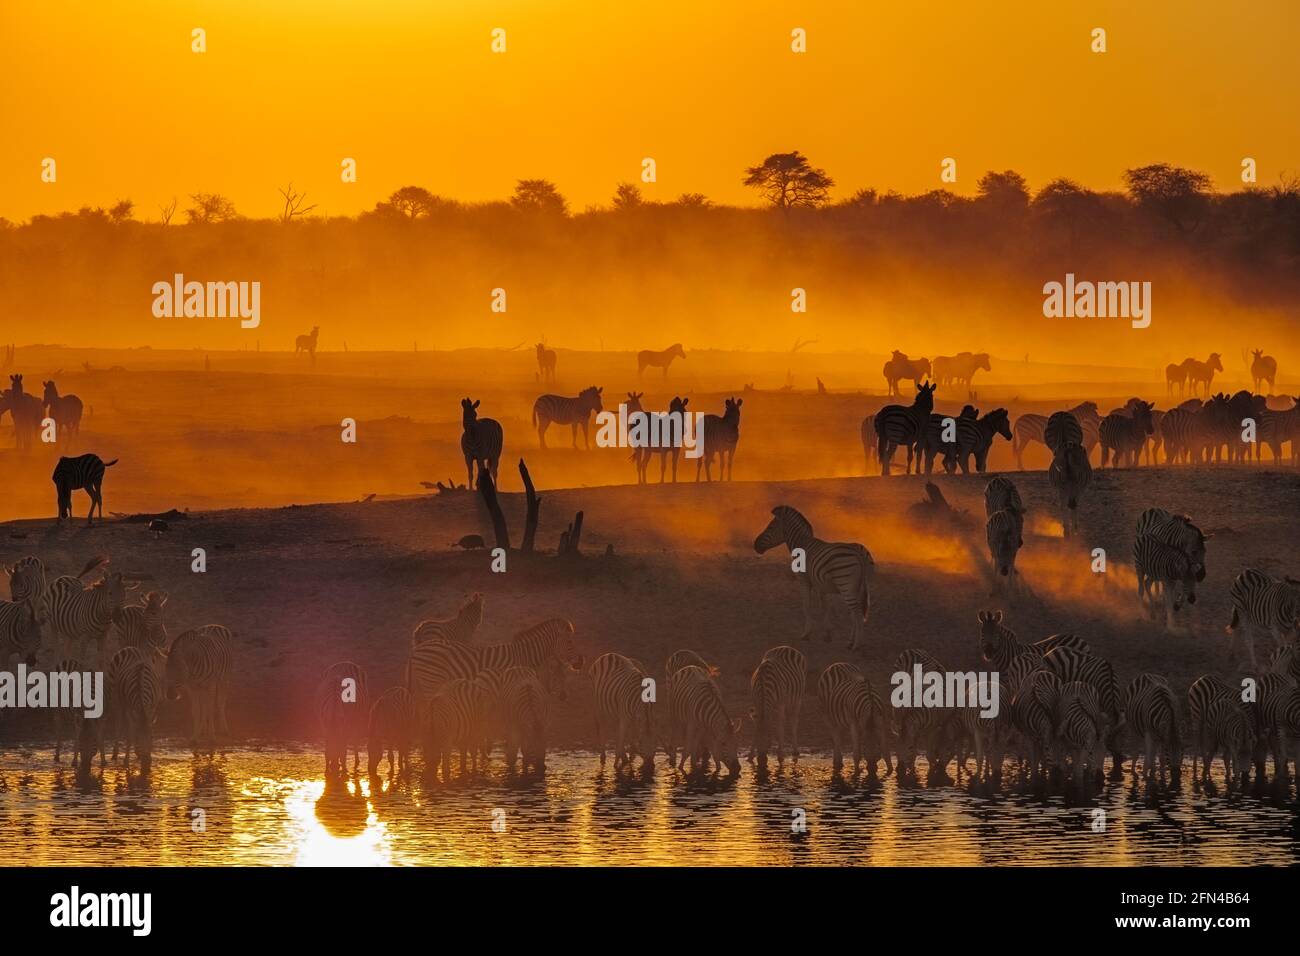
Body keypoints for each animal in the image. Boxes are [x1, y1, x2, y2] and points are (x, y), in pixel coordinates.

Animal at [754, 505, 874, 649]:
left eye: (770, 527)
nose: (755, 545)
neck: (801, 544)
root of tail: (858, 552)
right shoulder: (820, 585)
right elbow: (825, 607)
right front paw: (827, 634)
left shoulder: (803, 580)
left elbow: (806, 605)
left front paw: (806, 634)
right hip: (859, 587)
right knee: (855, 613)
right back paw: (850, 642)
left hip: (846, 585)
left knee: (857, 613)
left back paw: (856, 645)